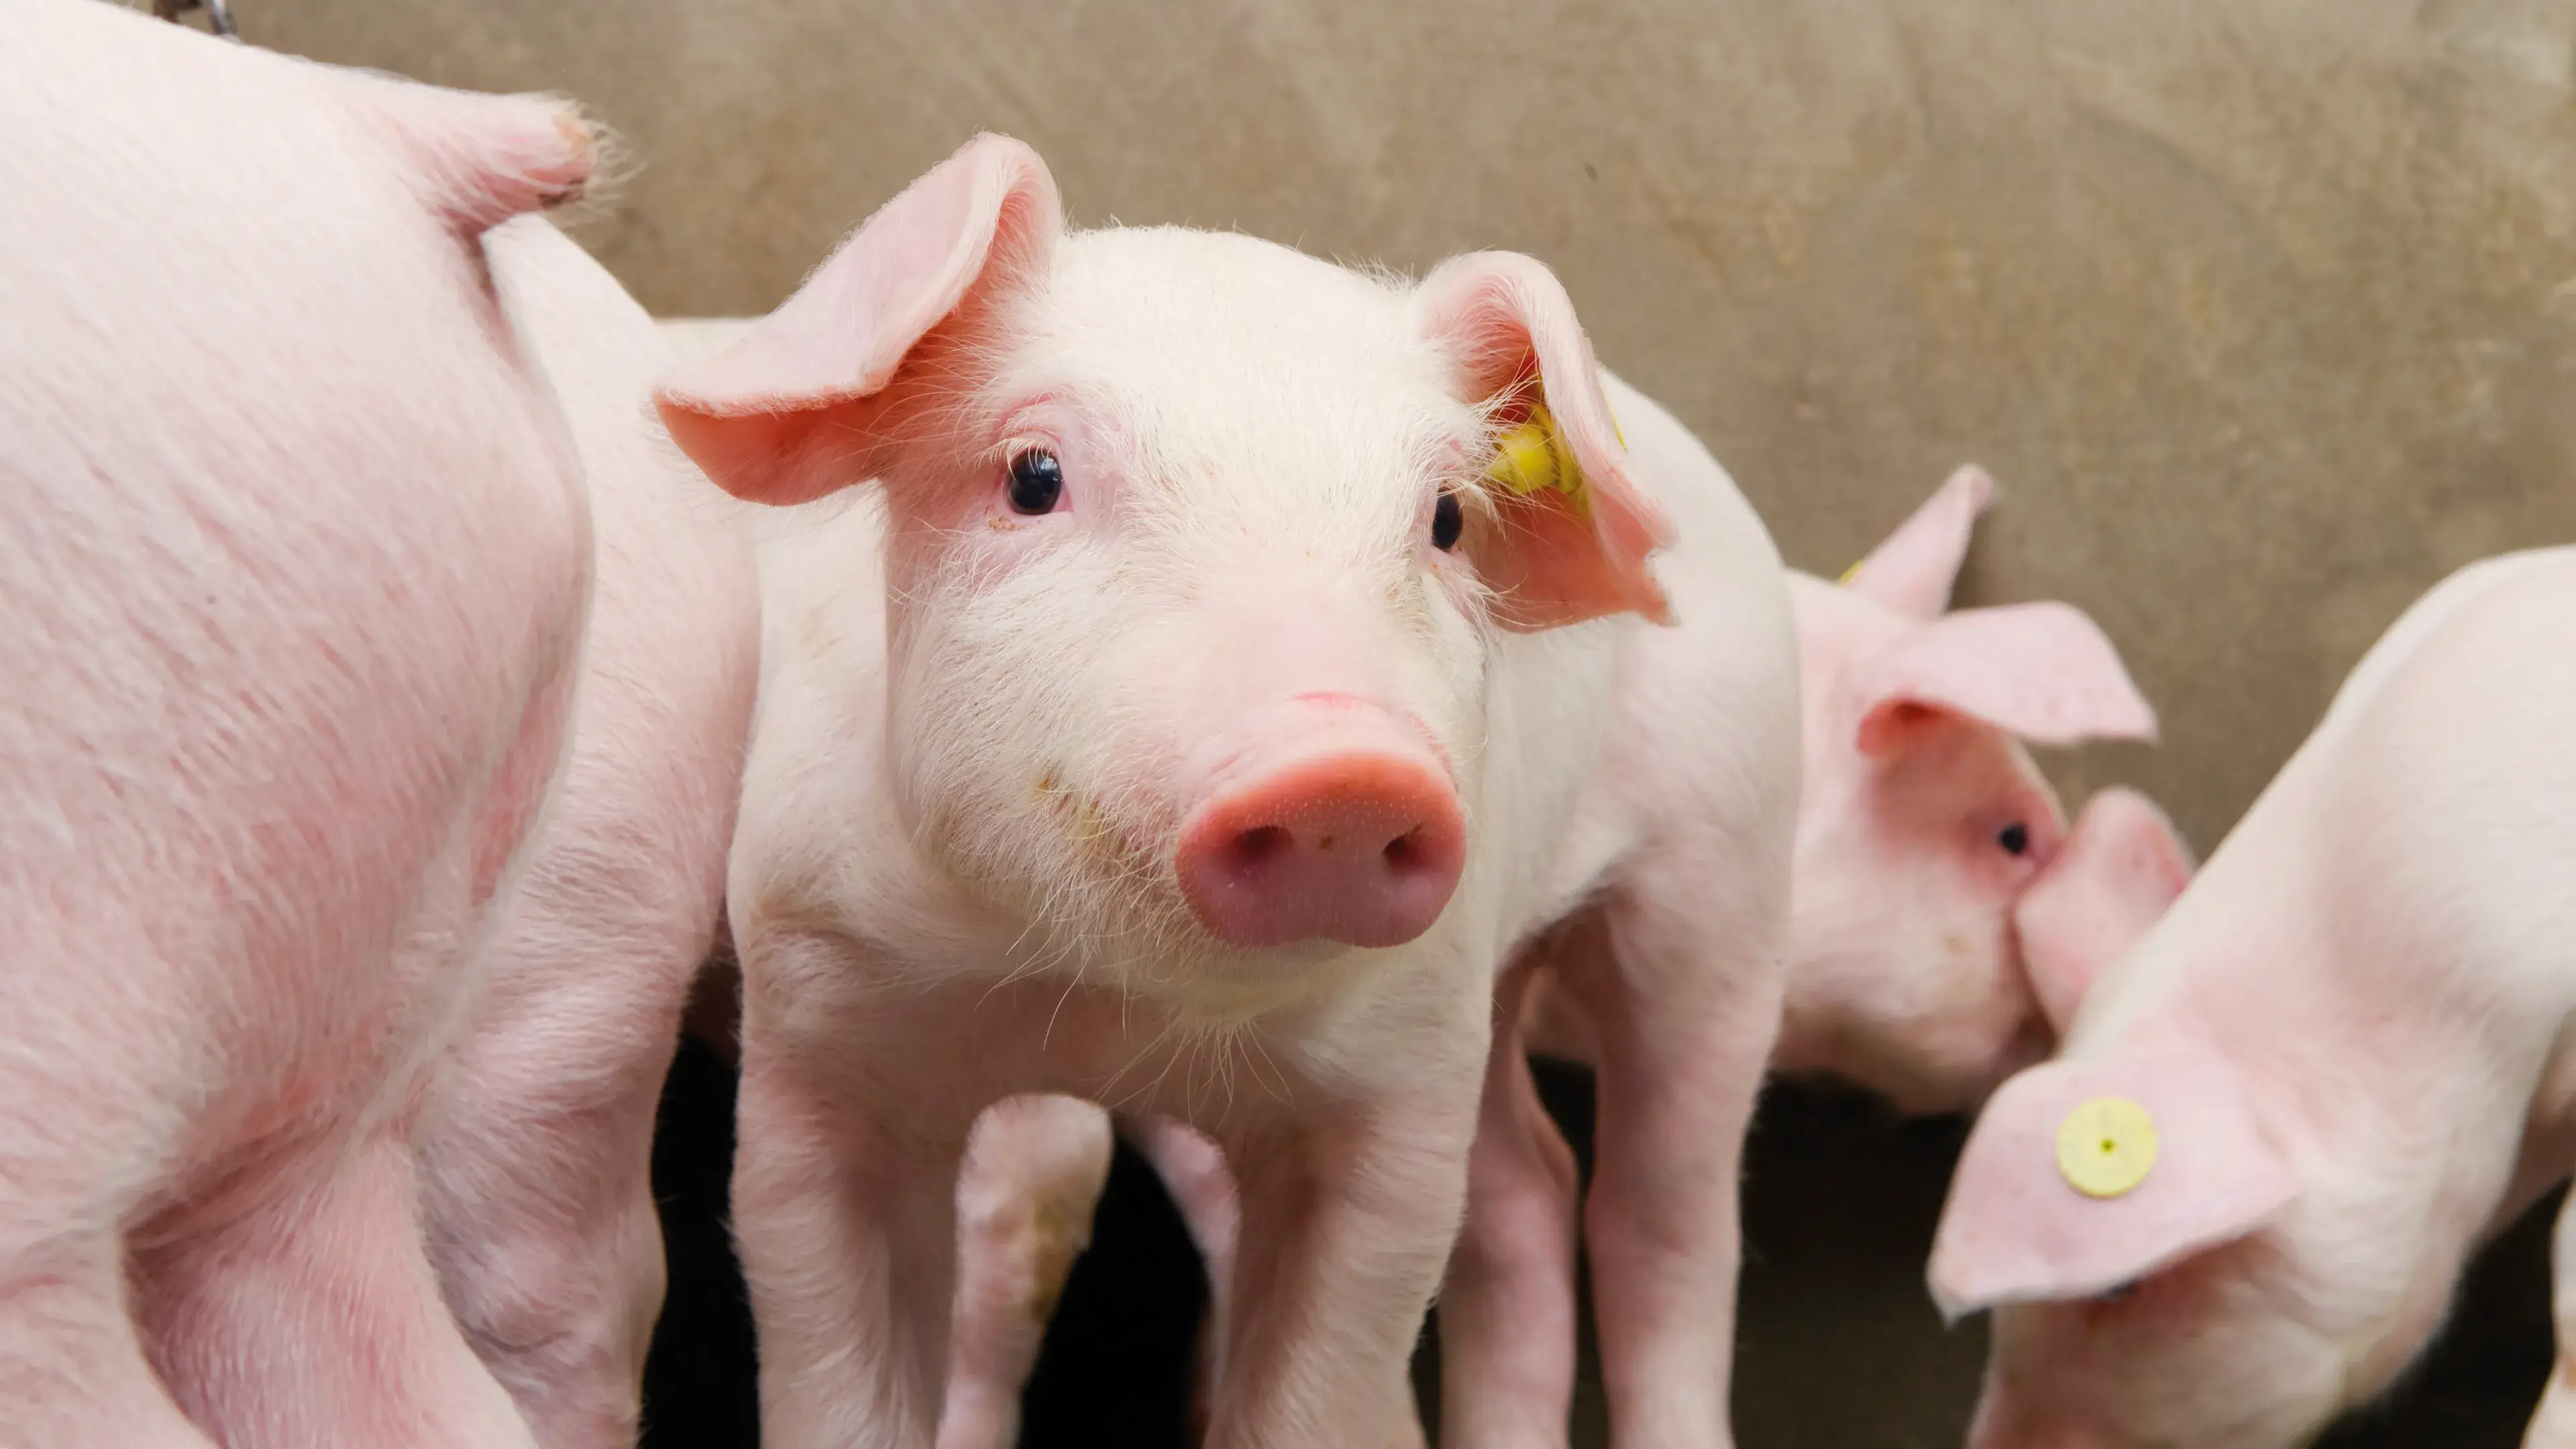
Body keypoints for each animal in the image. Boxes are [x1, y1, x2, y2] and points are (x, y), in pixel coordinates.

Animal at [652, 132, 1802, 1448]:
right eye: (1033, 476)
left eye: (1448, 520)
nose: (1346, 769)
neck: (1103, 1016)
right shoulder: (814, 1027)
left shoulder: (1403, 1081)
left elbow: (1321, 1380)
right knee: (1528, 1194)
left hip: (1726, 867)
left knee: (1663, 1215)